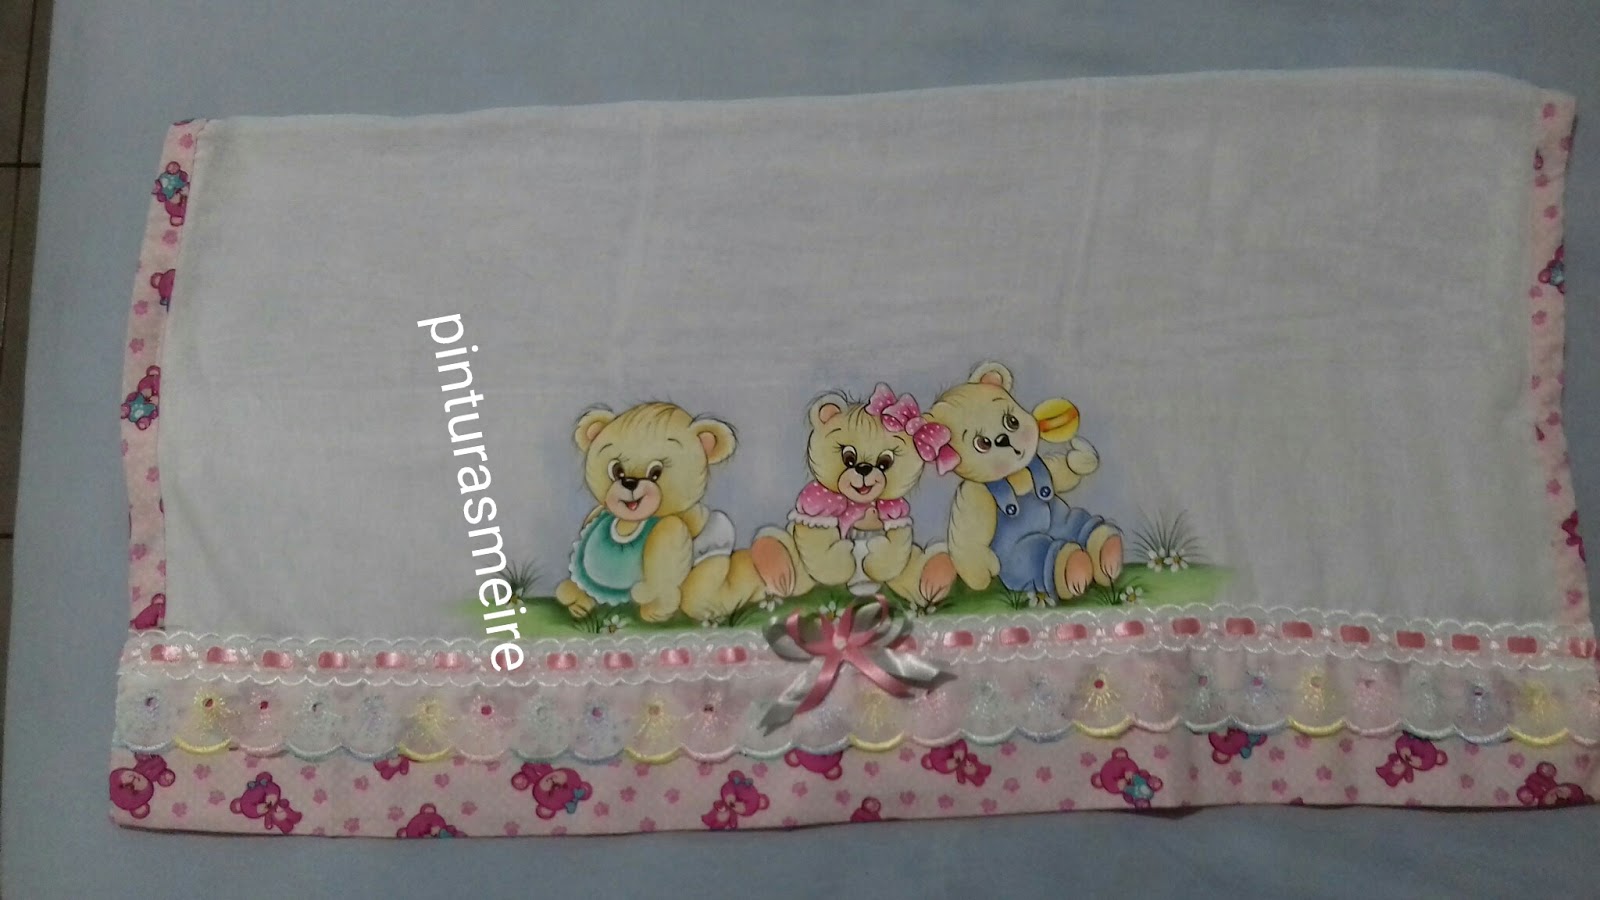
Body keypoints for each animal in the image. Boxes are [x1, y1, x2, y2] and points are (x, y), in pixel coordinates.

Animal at [554, 402, 768, 624]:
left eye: (655, 473)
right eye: (617, 470)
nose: (629, 482)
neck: (630, 521)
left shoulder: (671, 529)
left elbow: (663, 565)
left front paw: (653, 606)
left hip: (709, 570)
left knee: (700, 597)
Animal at [751, 386, 957, 609]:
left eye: (885, 462)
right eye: (848, 456)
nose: (864, 467)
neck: (859, 504)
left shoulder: (897, 511)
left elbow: (895, 546)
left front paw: (876, 551)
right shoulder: (817, 504)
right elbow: (819, 544)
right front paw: (843, 555)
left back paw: (933, 576)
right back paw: (775, 560)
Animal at [925, 361, 1122, 602]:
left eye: (1012, 421)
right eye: (982, 443)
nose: (1003, 439)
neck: (1015, 477)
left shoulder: (1043, 468)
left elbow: (1063, 470)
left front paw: (1081, 457)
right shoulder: (974, 494)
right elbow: (968, 540)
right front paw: (981, 576)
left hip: (1065, 518)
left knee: (1080, 524)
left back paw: (1107, 550)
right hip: (1020, 556)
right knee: (1041, 557)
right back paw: (1074, 567)